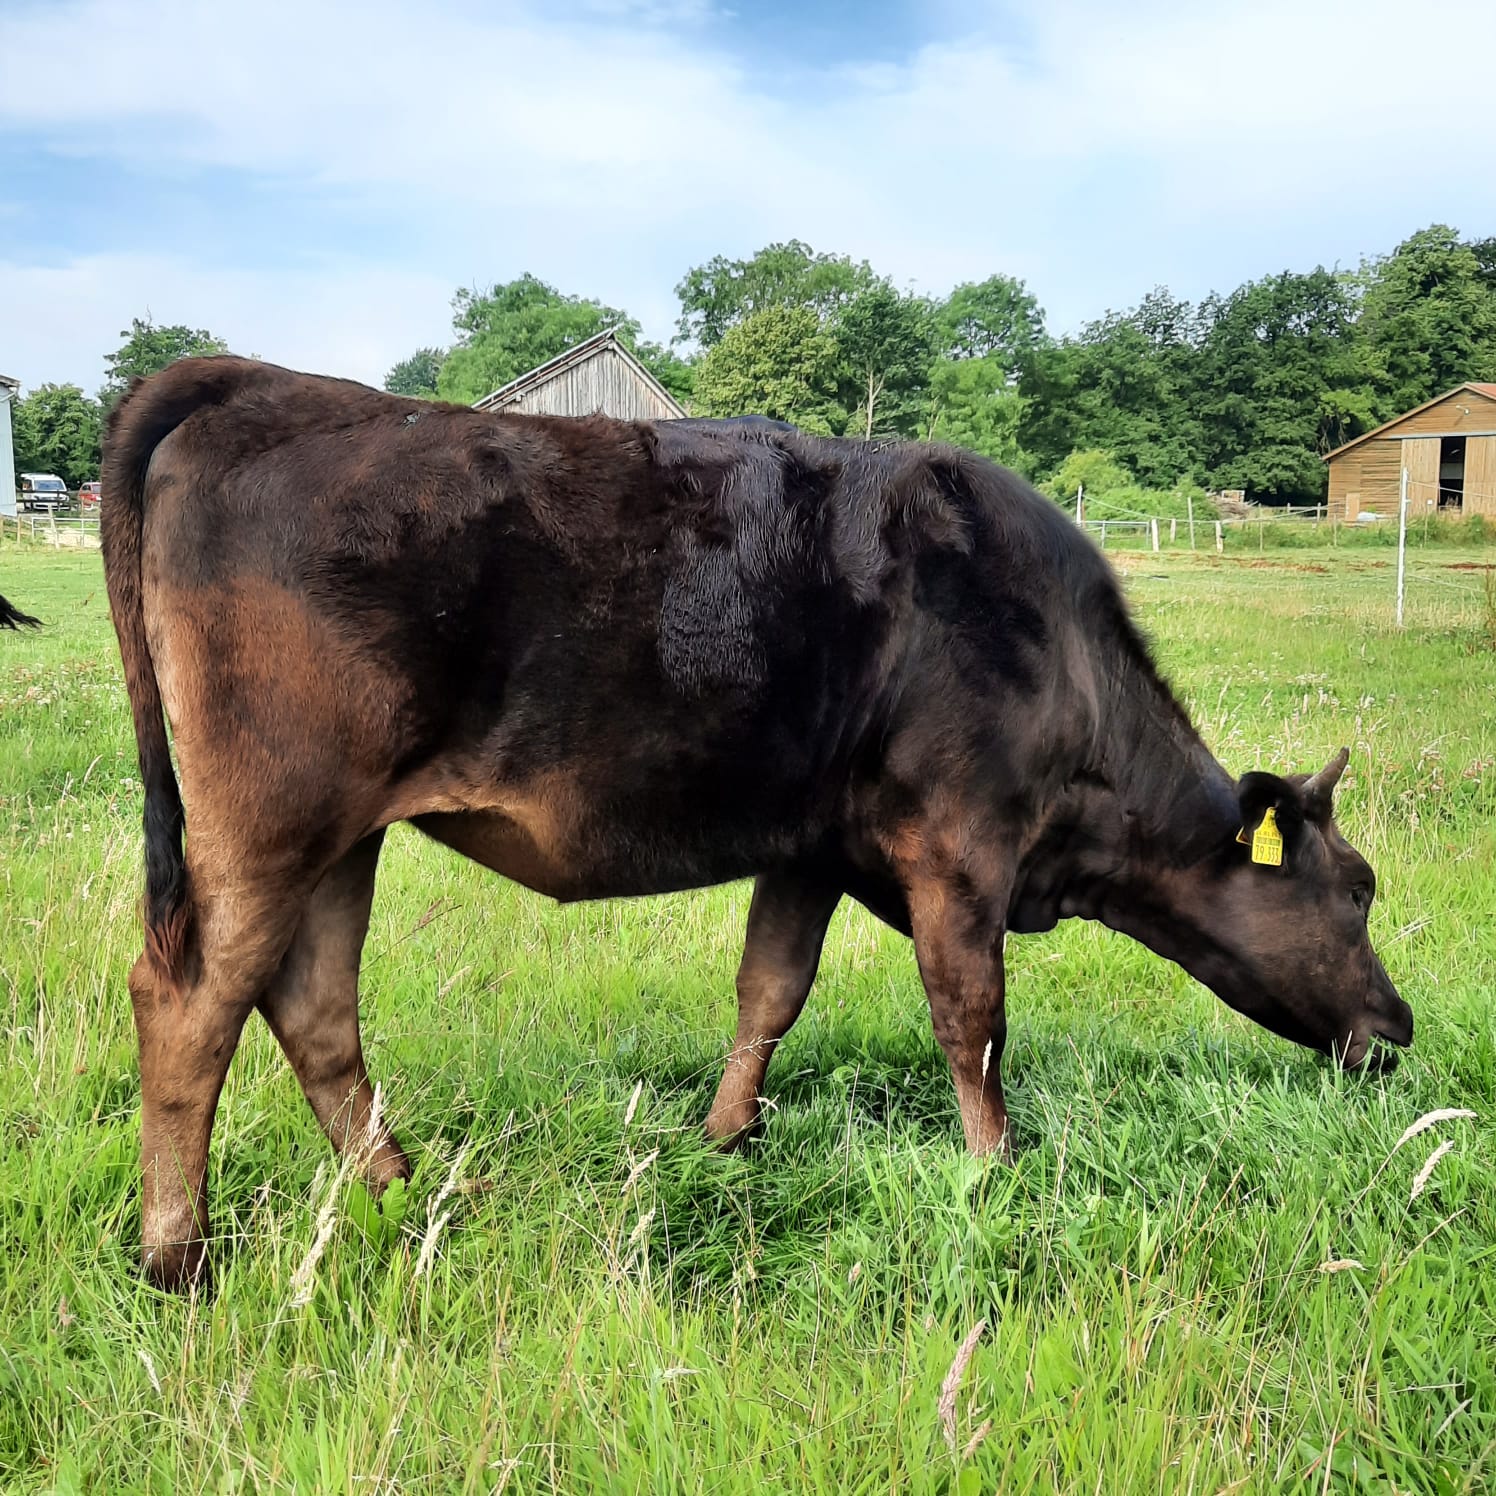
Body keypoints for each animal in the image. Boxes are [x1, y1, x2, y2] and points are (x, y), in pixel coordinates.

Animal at [102, 359, 1412, 1286]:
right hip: (273, 819)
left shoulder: (810, 847)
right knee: (190, 999)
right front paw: (995, 1169)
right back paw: (181, 1255)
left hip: (343, 834)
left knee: (312, 1005)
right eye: (1353, 890)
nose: (1398, 1025)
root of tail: (264, 381)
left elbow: (768, 989)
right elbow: (972, 1018)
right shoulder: (959, 849)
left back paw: (407, 1192)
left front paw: (724, 1140)